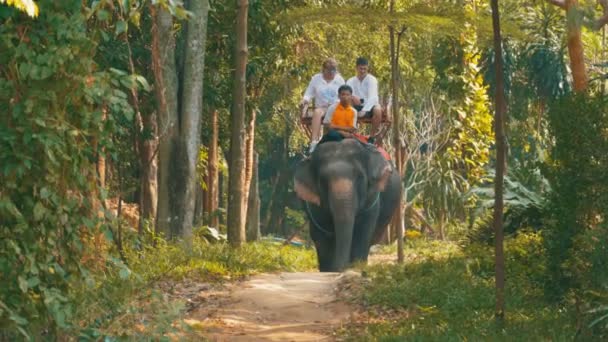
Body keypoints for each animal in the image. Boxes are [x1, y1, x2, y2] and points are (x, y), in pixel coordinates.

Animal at [294, 138, 402, 272]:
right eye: (323, 181)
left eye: (360, 178)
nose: (342, 268)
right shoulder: (314, 205)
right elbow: (324, 236)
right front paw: (329, 270)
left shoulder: (372, 199)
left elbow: (362, 232)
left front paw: (356, 266)